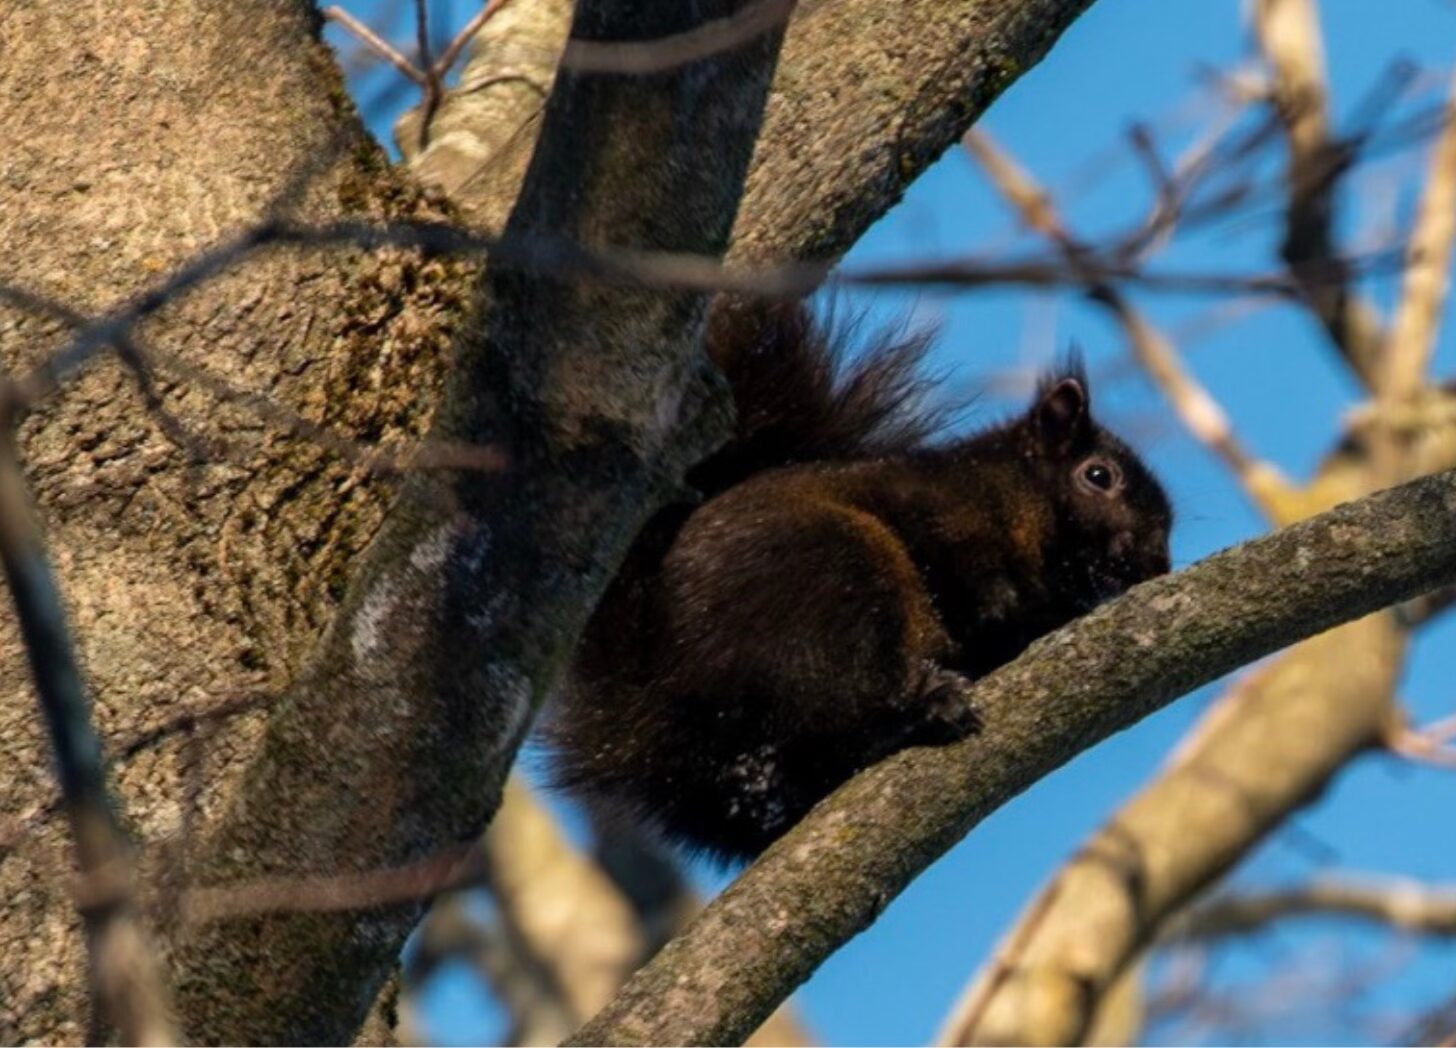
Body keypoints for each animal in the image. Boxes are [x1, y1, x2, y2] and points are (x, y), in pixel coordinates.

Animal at [545, 297, 1173, 862]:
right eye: (1099, 476)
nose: (1156, 562)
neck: (1020, 495)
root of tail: (660, 711)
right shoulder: (946, 514)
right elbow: (976, 585)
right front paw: (1035, 610)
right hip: (833, 586)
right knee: (834, 709)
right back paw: (924, 708)